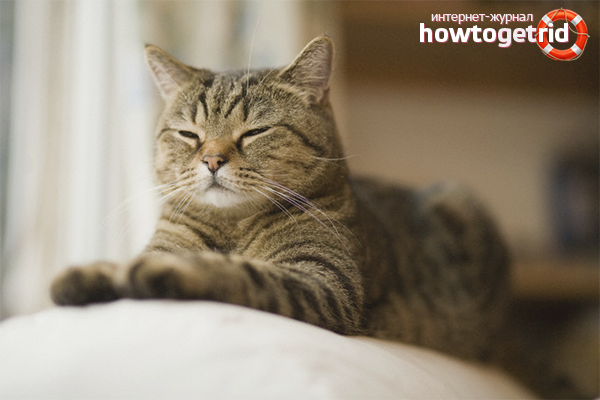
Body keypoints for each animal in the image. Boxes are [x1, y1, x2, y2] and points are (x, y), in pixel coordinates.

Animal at [52, 34, 509, 372]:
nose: (211, 159)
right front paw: (92, 274)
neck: (232, 225)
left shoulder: (324, 281)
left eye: (255, 131)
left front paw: (170, 271)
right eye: (189, 135)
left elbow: (241, 271)